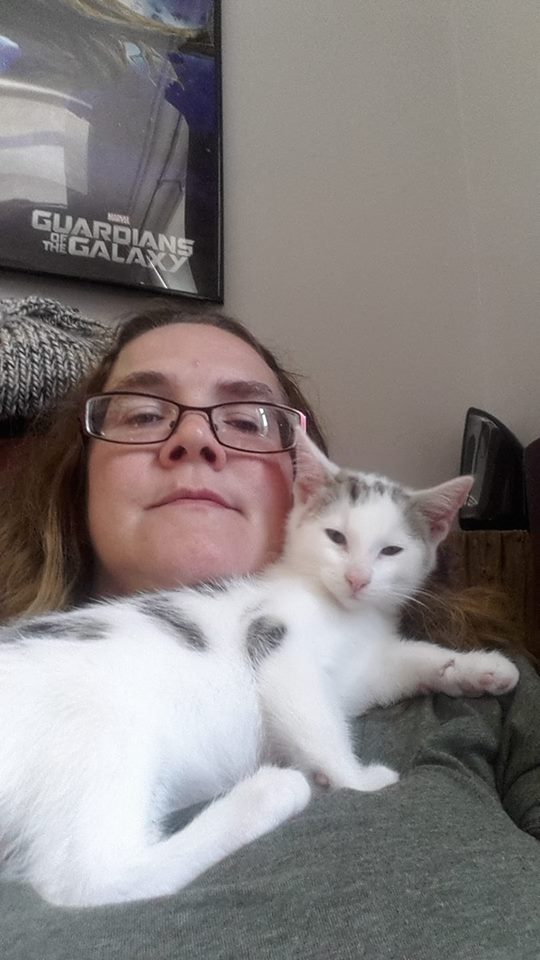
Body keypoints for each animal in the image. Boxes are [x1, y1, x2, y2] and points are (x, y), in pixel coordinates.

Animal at [0, 438, 520, 904]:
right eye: (336, 538)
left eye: (390, 551)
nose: (357, 579)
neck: (345, 614)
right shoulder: (275, 639)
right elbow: (318, 723)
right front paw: (355, 778)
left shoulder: (363, 671)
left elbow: (408, 660)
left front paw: (480, 668)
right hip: (104, 727)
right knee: (88, 878)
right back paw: (272, 790)